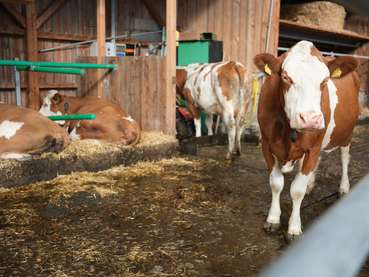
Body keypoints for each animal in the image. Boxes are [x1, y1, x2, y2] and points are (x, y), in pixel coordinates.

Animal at [253, 40, 360, 239]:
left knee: (344, 158)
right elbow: (276, 183)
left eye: (324, 81)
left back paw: (344, 187)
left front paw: (294, 227)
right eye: (286, 77)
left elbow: (297, 189)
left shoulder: (313, 147)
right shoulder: (266, 144)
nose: (310, 118)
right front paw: (273, 219)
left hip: (346, 134)